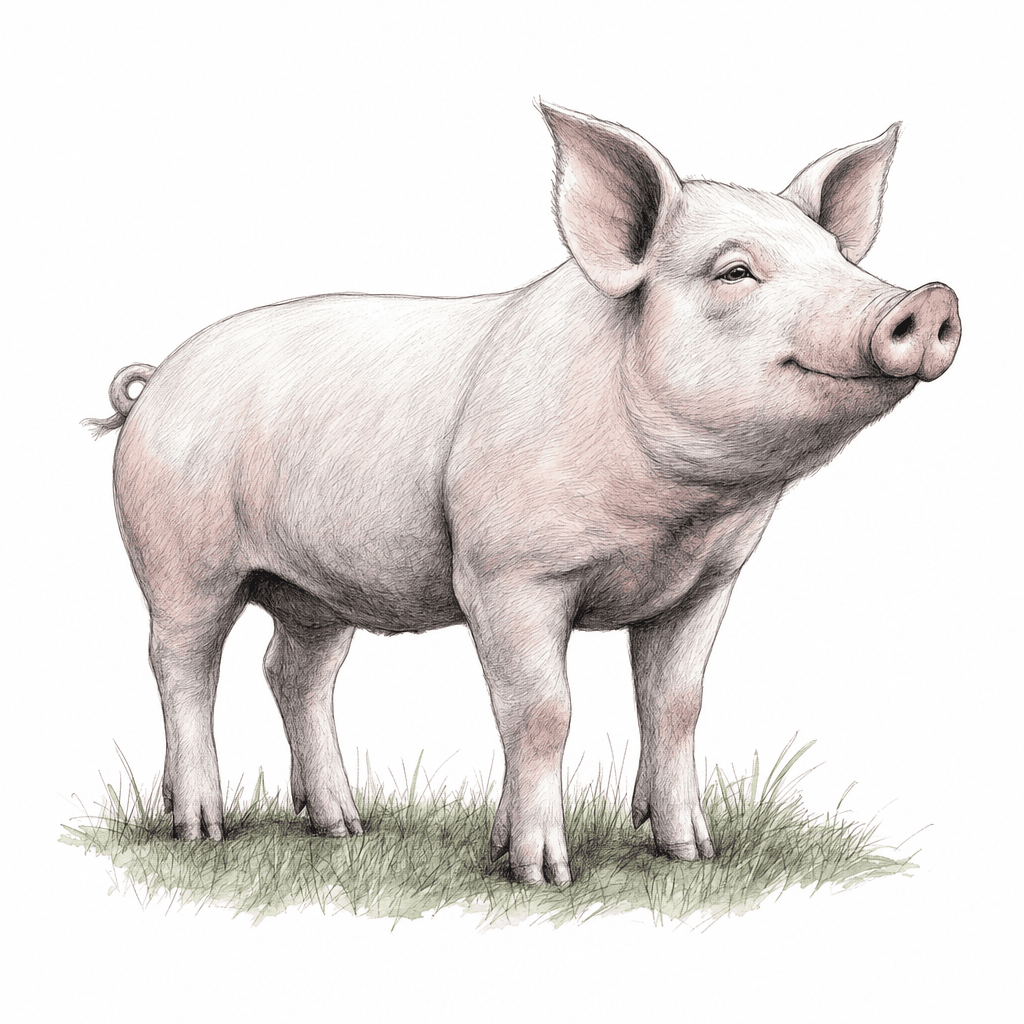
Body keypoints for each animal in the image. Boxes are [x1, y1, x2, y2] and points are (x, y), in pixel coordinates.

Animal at [85, 102, 960, 886]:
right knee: (181, 665)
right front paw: (544, 875)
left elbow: (676, 704)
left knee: (293, 672)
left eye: (839, 260)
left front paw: (690, 854)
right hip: (178, 554)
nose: (929, 299)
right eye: (735, 271)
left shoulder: (707, 581)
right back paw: (202, 829)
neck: (675, 515)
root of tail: (154, 383)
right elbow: (541, 711)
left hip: (316, 589)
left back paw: (342, 827)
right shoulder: (507, 571)